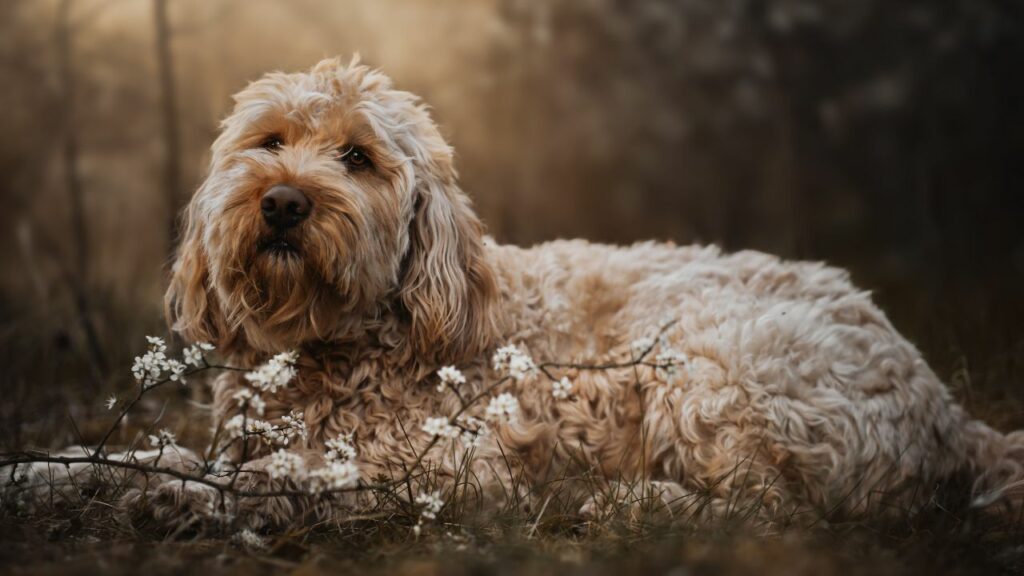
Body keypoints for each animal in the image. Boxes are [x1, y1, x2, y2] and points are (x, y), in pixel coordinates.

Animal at [159, 57, 1024, 524]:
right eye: (270, 141)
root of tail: (948, 412)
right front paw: (137, 475)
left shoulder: (457, 469)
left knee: (776, 511)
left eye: (359, 158)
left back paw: (636, 505)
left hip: (705, 360)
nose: (282, 202)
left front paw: (214, 492)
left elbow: (301, 471)